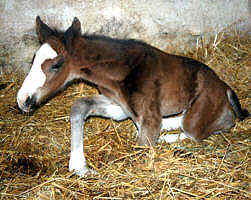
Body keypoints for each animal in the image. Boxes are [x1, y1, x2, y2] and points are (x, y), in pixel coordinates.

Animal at [17, 16, 247, 175]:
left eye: (56, 65)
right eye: (33, 59)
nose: (23, 100)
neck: (121, 73)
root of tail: (224, 86)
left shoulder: (149, 118)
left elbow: (141, 147)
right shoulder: (119, 106)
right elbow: (79, 106)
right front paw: (78, 166)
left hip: (199, 115)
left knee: (209, 126)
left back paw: (169, 136)